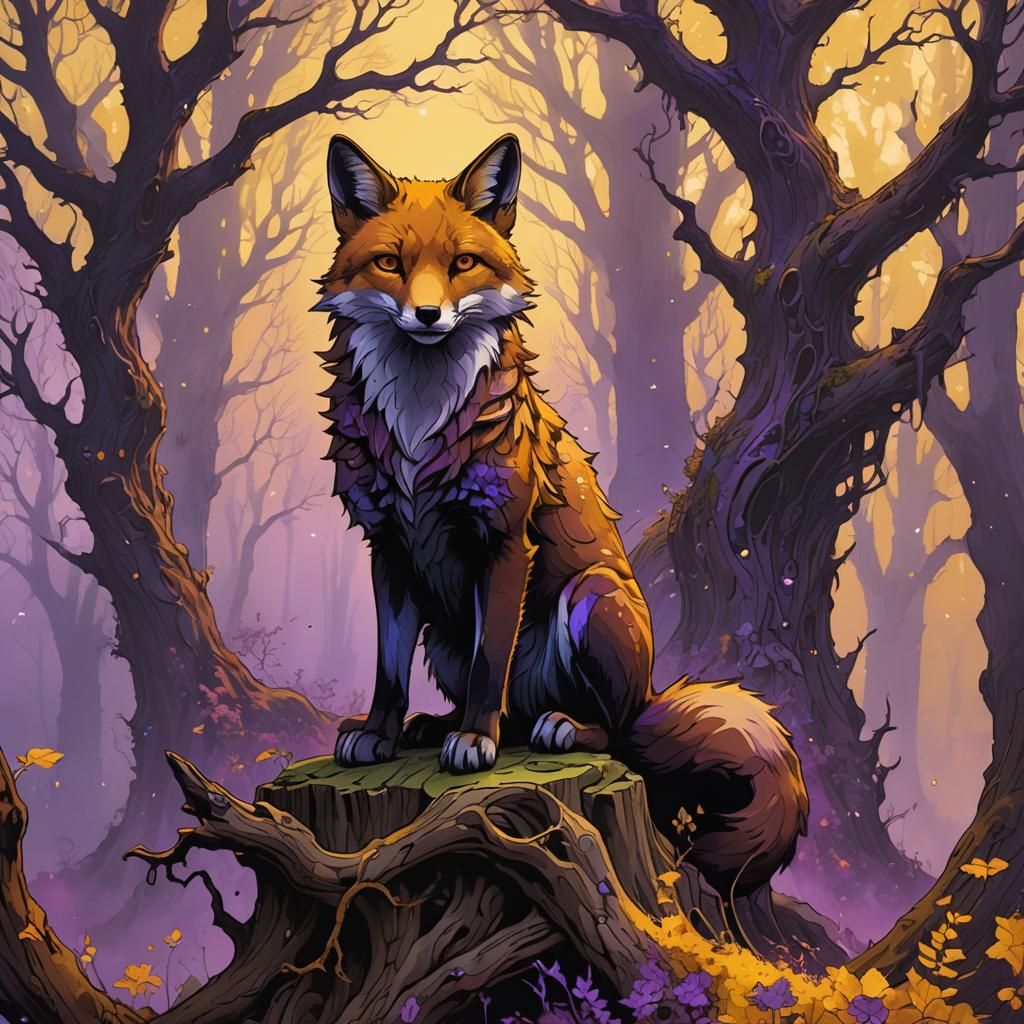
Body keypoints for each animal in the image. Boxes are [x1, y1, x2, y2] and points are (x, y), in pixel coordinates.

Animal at [315, 133, 808, 893]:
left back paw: (553, 729)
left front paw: (474, 742)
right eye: (391, 263)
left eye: (461, 263)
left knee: (613, 736)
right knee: (506, 705)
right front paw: (380, 732)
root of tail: (652, 691)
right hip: (444, 638)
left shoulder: (503, 542)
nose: (427, 317)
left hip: (591, 597)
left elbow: (491, 660)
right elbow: (388, 668)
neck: (420, 421)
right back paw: (439, 726)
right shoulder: (388, 549)